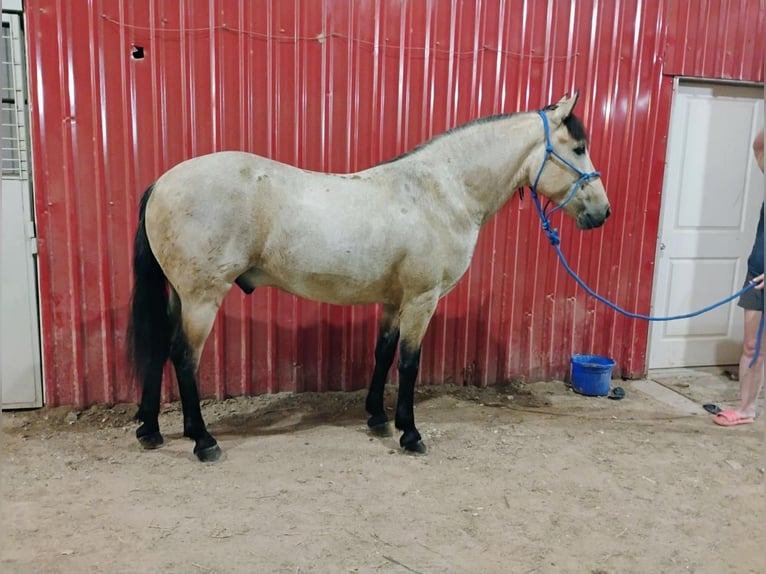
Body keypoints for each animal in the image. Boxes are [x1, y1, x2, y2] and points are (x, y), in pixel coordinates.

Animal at [129, 94, 616, 464]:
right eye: (577, 149)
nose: (602, 212)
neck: (442, 193)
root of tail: (161, 183)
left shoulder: (394, 300)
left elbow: (383, 353)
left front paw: (379, 419)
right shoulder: (422, 298)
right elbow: (409, 363)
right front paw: (410, 433)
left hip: (180, 296)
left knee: (158, 351)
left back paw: (151, 430)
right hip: (201, 298)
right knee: (183, 357)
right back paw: (203, 441)